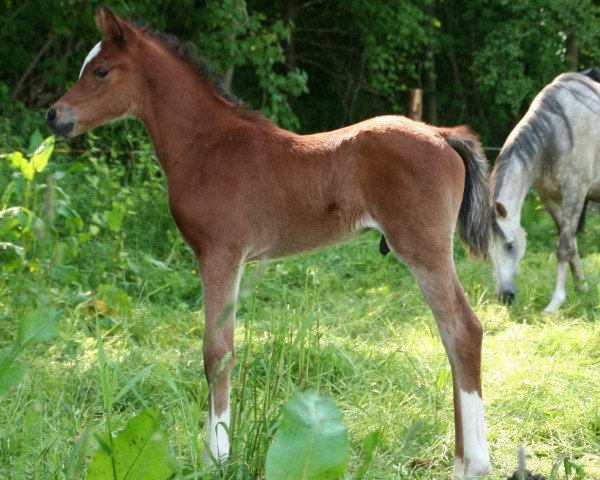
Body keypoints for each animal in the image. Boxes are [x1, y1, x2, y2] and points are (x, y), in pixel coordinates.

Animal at [49, 6, 492, 476]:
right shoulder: (232, 260)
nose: (54, 116)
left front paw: (217, 458)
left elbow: (217, 352)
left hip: (424, 249)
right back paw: (461, 459)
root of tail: (442, 133)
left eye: (100, 70)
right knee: (449, 336)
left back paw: (474, 463)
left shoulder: (219, 255)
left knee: (463, 331)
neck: (206, 145)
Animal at [490, 70, 600, 312]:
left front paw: (556, 302)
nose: (504, 296)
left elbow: (564, 248)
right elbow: (572, 244)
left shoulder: (574, 195)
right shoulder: (550, 199)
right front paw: (582, 286)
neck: (556, 134)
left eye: (511, 245)